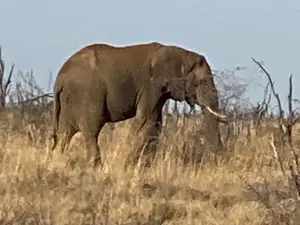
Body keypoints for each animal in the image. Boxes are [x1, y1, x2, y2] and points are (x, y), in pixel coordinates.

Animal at [50, 41, 227, 169]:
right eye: (200, 82)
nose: (218, 160)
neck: (182, 53)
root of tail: (59, 78)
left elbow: (156, 124)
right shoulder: (151, 85)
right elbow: (146, 121)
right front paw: (132, 164)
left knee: (65, 133)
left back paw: (58, 161)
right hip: (88, 94)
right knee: (91, 131)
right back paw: (96, 167)